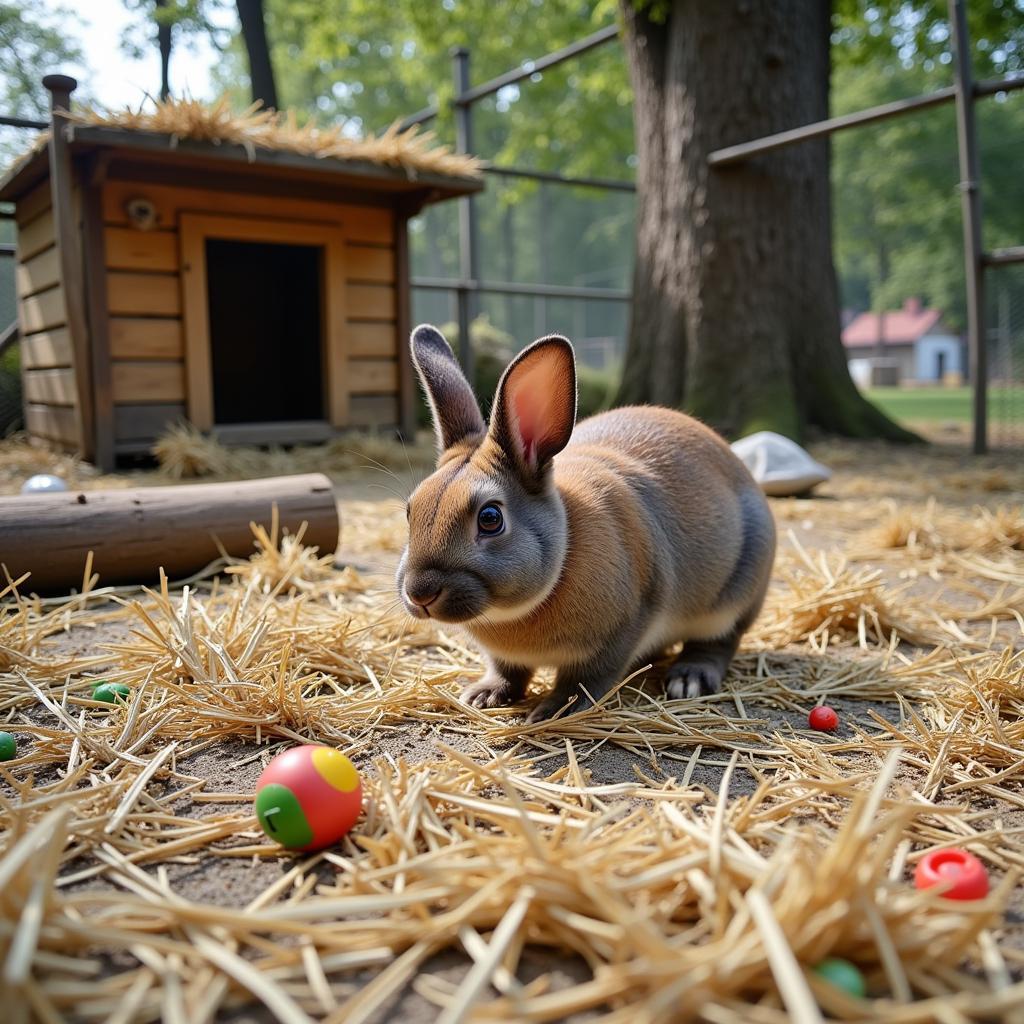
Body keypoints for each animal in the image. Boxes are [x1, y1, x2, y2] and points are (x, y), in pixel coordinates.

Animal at [397, 325, 774, 720]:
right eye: (411, 511)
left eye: (490, 519)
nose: (419, 593)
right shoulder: (506, 658)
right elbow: (508, 671)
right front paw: (484, 695)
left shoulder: (623, 628)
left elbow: (585, 679)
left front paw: (554, 710)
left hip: (735, 596)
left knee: (719, 641)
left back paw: (690, 678)